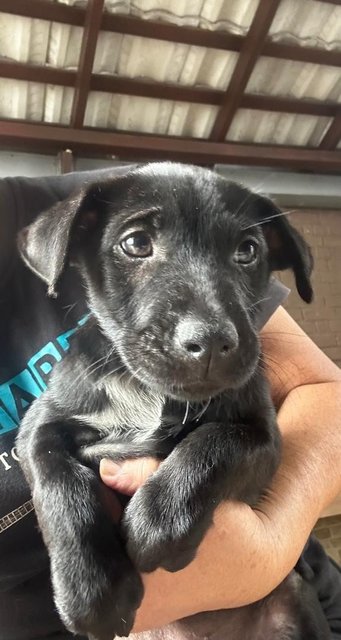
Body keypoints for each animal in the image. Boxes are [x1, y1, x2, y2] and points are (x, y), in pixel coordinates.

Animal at [15, 165, 324, 640]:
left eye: (248, 251)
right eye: (136, 243)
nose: (211, 341)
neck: (150, 390)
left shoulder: (262, 437)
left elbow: (212, 445)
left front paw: (159, 521)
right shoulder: (38, 424)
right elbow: (58, 481)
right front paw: (89, 587)